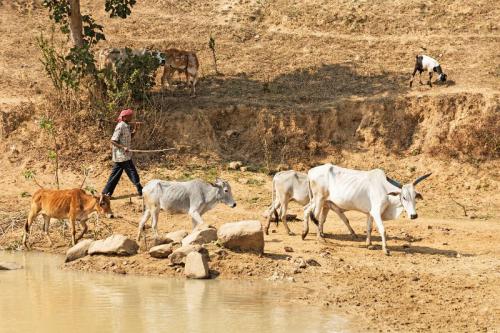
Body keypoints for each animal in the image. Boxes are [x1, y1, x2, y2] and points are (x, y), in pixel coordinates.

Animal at [302, 163, 432, 254]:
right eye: (404, 197)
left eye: (415, 197)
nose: (414, 215)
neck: (386, 191)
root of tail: (311, 172)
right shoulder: (376, 212)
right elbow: (382, 230)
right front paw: (385, 250)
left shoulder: (370, 213)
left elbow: (369, 228)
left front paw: (369, 244)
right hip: (319, 199)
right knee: (315, 217)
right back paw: (319, 238)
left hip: (318, 200)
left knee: (307, 210)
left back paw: (304, 233)